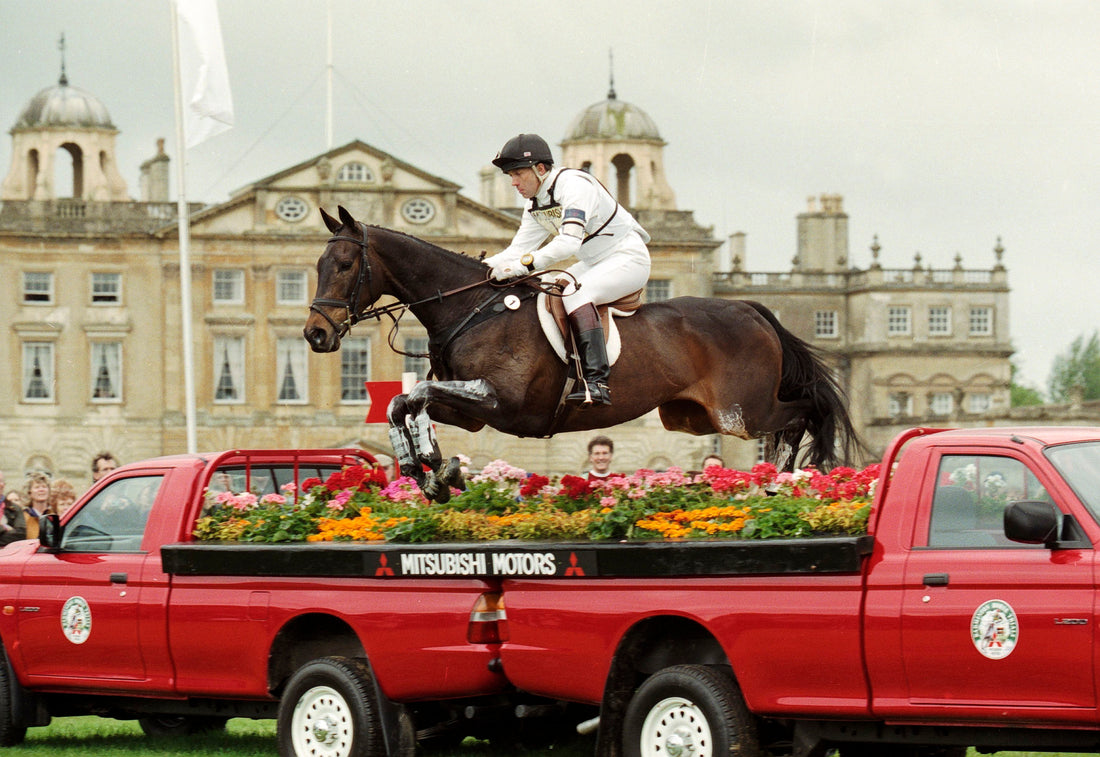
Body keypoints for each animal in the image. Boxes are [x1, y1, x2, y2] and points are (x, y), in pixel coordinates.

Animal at [305, 206, 862, 501]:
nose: (315, 334)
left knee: (805, 412)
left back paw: (788, 477)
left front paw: (434, 468)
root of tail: (749, 307)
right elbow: (405, 403)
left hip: (741, 412)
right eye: (316, 264)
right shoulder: (472, 412)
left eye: (346, 264)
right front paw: (429, 469)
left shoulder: (501, 401)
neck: (471, 308)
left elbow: (415, 394)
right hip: (694, 417)